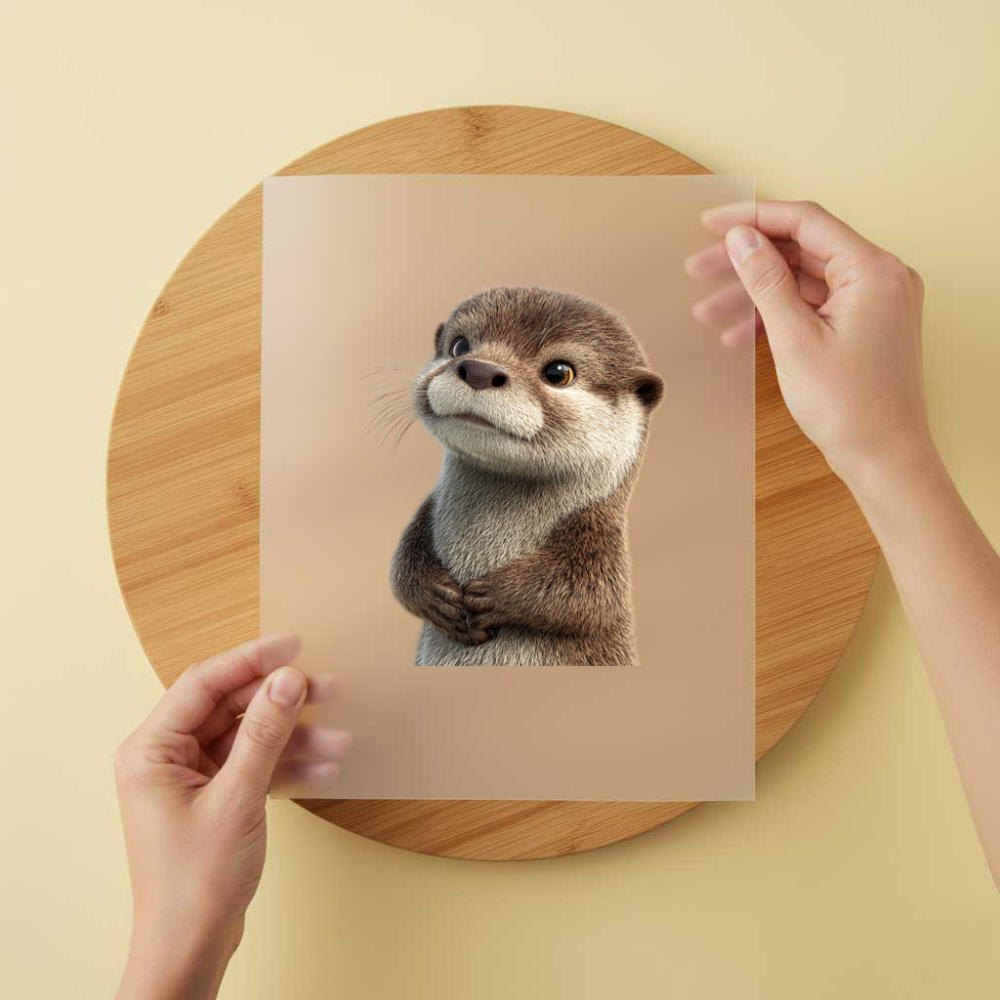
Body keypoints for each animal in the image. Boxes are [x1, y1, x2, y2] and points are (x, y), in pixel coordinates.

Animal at [390, 286, 664, 666]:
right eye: (460, 346)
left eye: (559, 372)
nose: (479, 369)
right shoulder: (426, 512)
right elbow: (400, 568)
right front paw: (434, 596)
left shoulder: (600, 542)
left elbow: (590, 600)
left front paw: (497, 595)